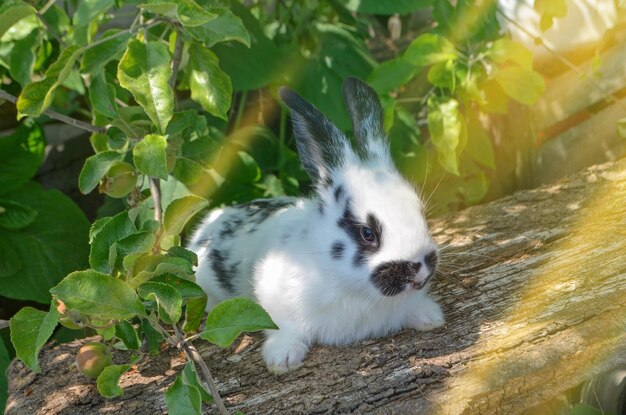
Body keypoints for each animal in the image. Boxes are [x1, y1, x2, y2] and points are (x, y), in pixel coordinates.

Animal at [186, 77, 444, 374]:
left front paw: (430, 317)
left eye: (420, 212)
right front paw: (283, 358)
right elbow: (281, 326)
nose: (420, 268)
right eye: (367, 233)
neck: (355, 288)